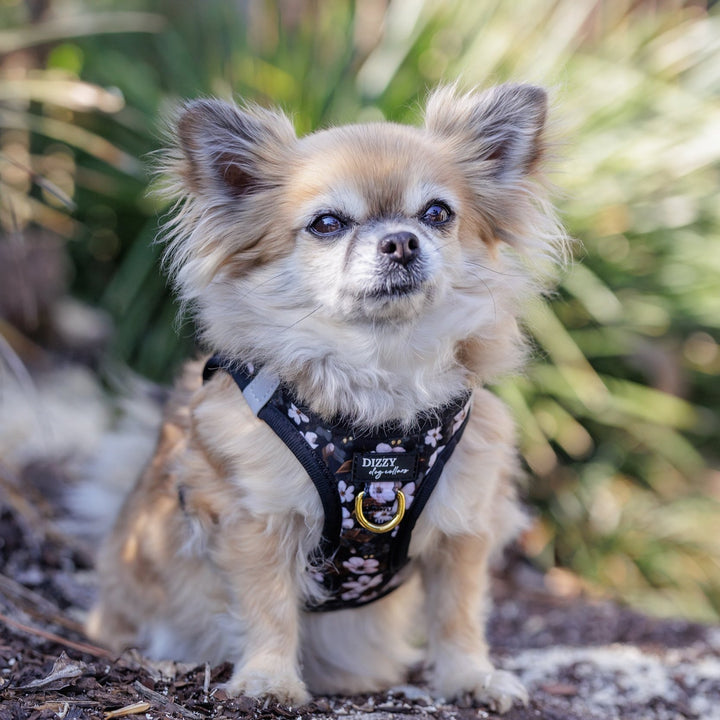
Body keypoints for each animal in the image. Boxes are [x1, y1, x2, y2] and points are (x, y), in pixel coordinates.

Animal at [84, 83, 568, 708]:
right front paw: (269, 679)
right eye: (327, 223)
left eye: (437, 213)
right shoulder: (258, 522)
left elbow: (457, 613)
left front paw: (471, 677)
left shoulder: (463, 526)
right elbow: (269, 609)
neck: (379, 388)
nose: (401, 240)